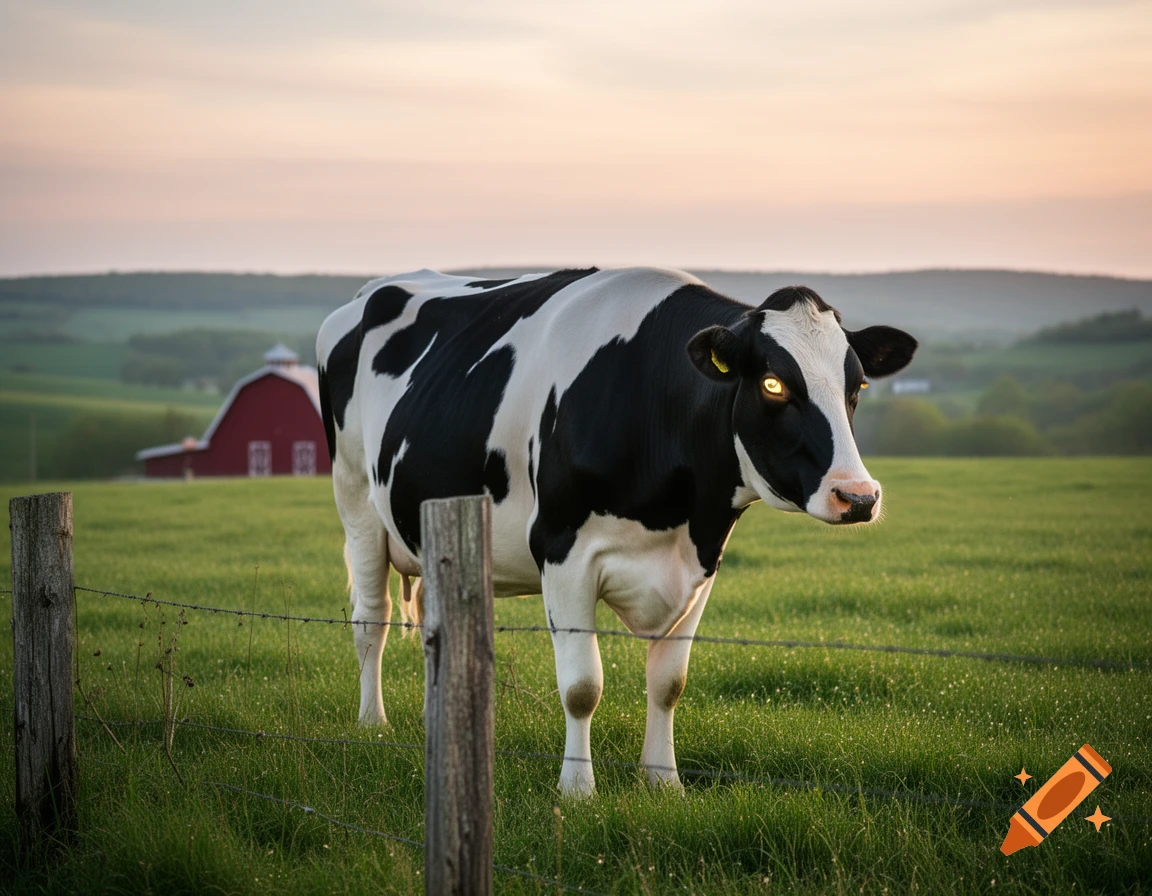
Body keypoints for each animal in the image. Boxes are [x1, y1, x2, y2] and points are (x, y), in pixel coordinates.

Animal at [316, 267, 916, 797]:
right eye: (772, 383)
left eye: (857, 384)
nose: (858, 496)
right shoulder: (561, 553)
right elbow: (583, 687)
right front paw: (578, 791)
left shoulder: (701, 560)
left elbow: (669, 683)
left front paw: (664, 782)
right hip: (356, 500)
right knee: (371, 619)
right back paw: (374, 724)